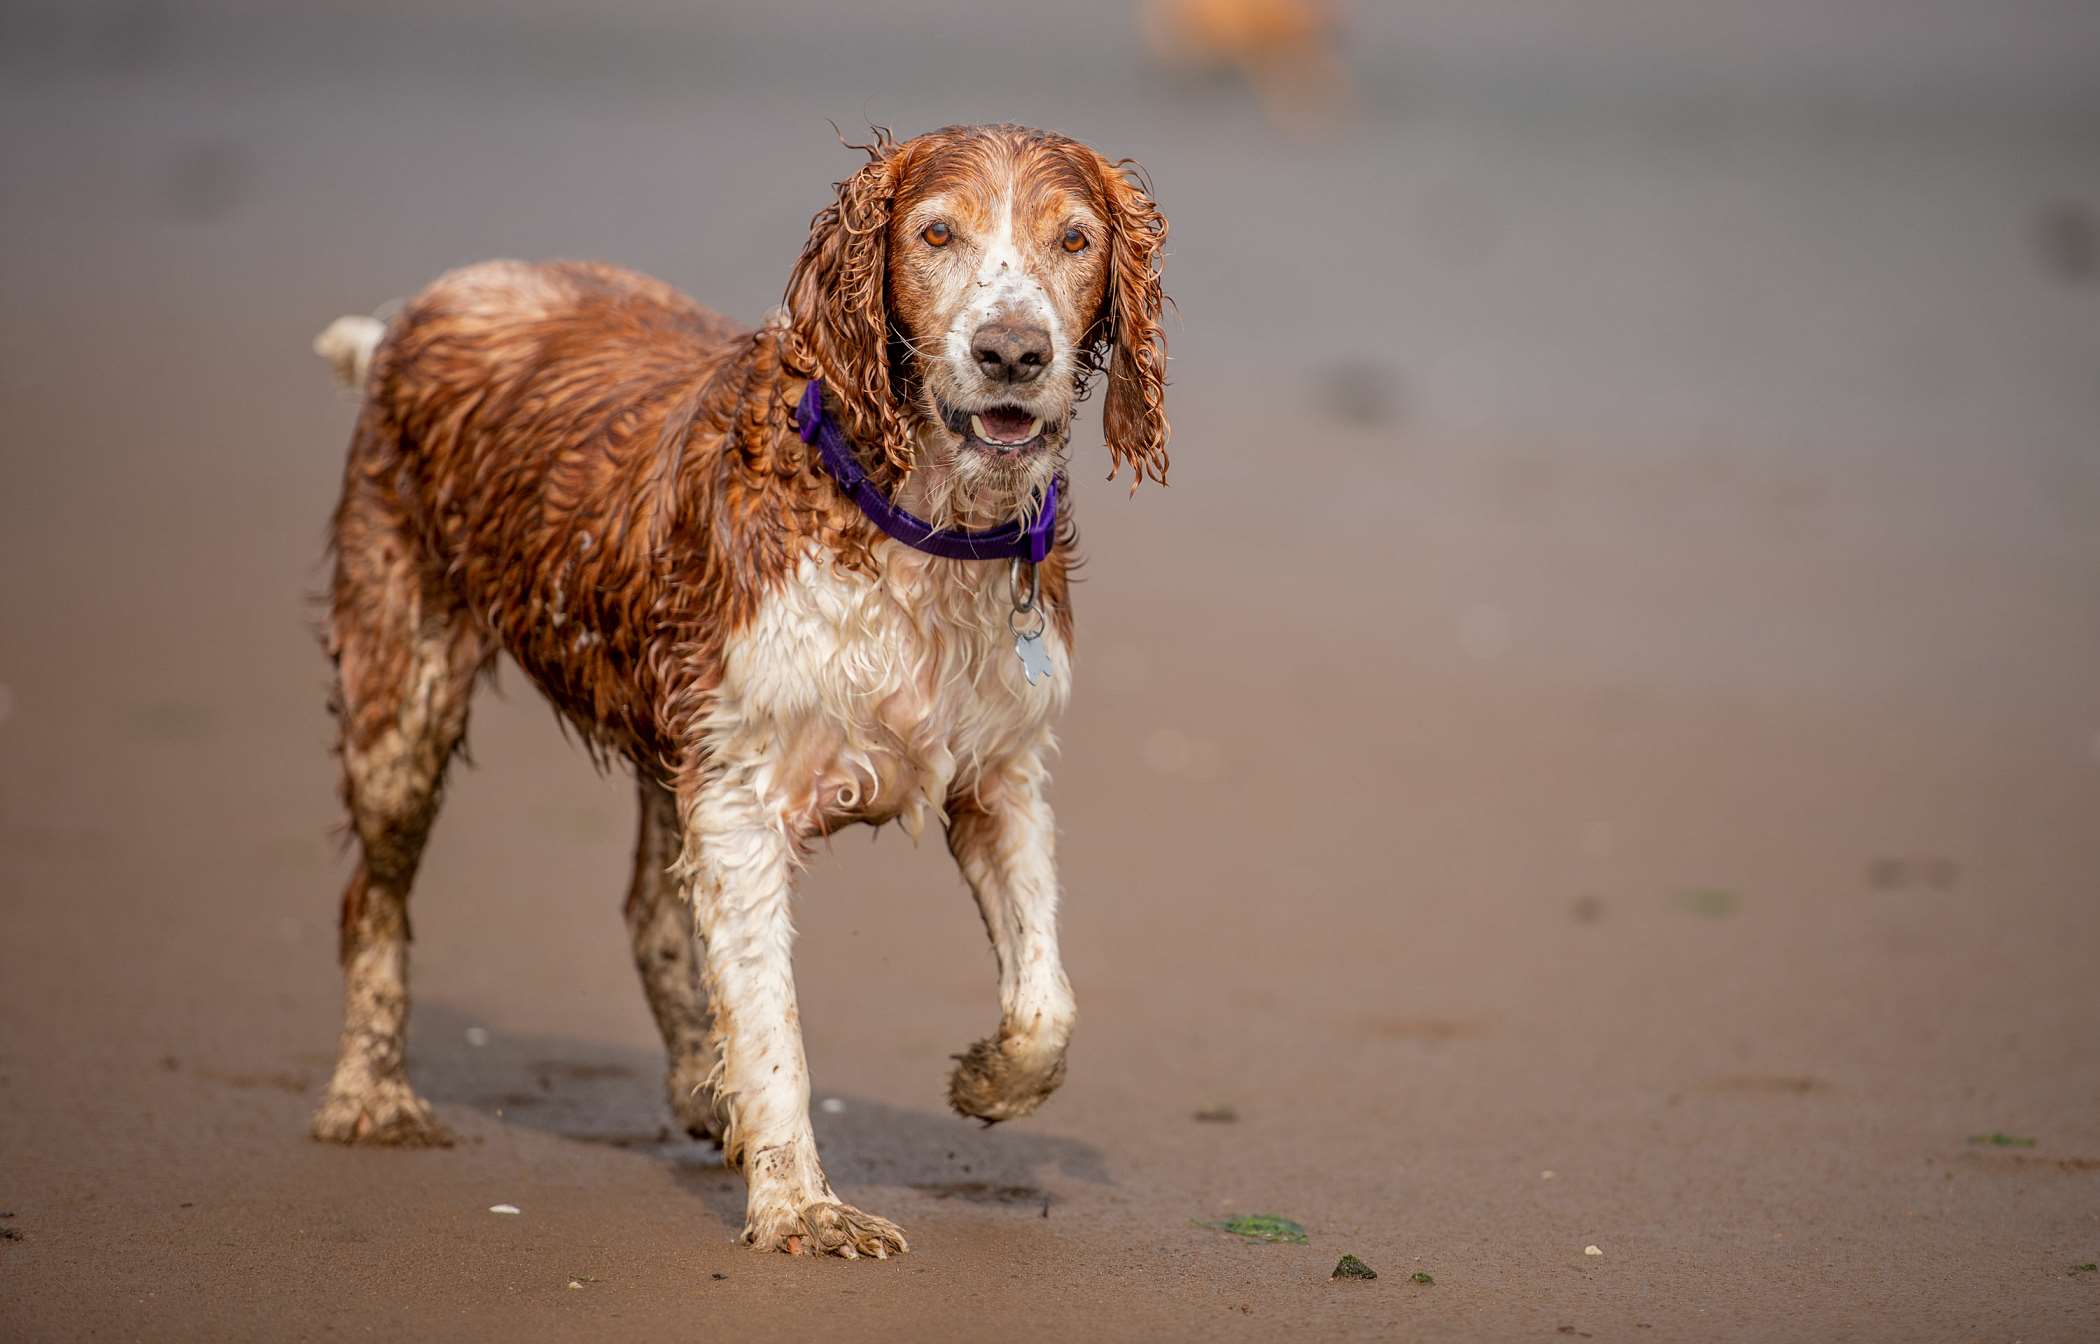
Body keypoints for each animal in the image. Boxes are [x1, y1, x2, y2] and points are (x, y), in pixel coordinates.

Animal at [310, 120, 1176, 1251]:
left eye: (1074, 239)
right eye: (935, 233)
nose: (1013, 352)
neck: (913, 530)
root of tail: (416, 312)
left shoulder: (1001, 777)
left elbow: (1045, 1004)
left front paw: (986, 1083)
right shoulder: (741, 798)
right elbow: (774, 1026)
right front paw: (803, 1207)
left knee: (647, 912)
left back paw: (696, 1087)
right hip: (405, 691)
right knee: (373, 893)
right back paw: (370, 1098)